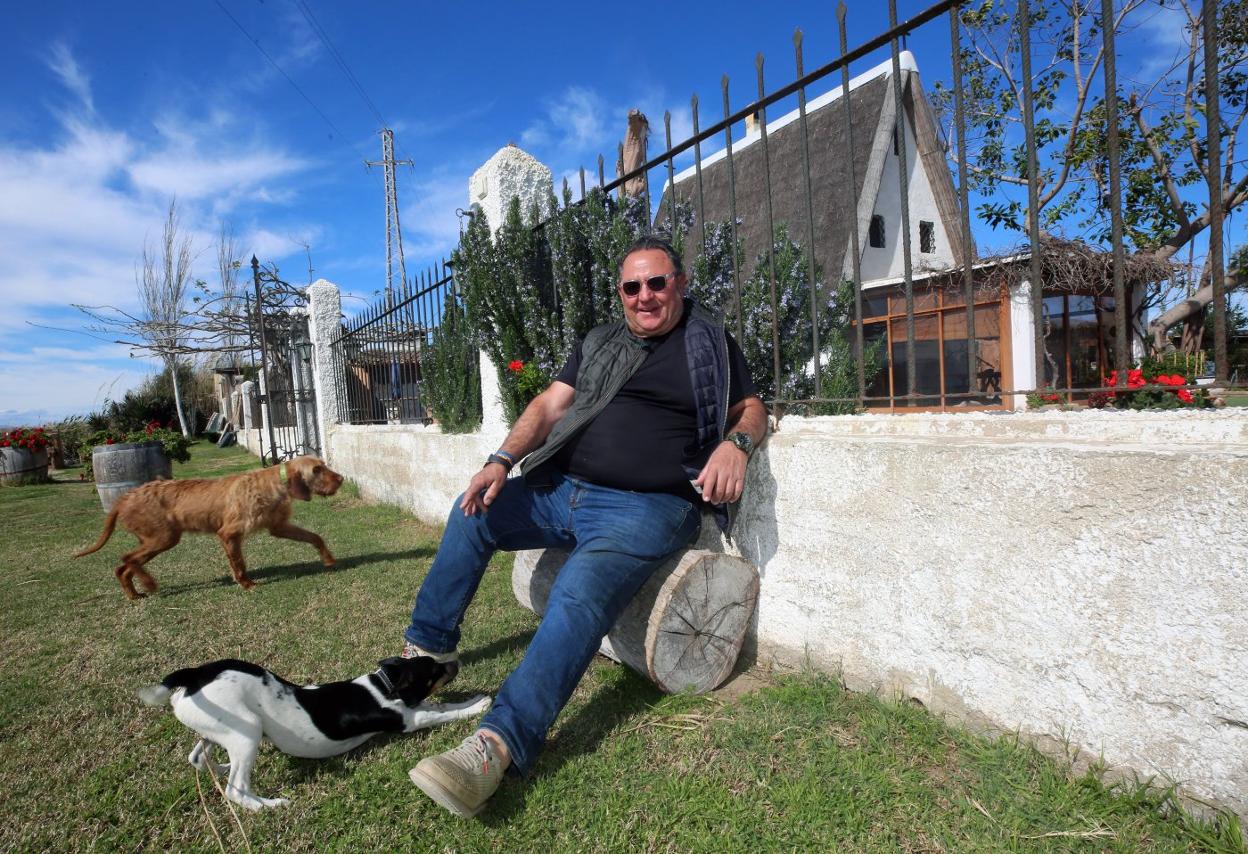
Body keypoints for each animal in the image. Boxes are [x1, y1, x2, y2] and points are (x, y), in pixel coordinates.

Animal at [75, 454, 344, 599]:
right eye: (317, 469)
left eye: (323, 464)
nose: (341, 479)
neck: (274, 483)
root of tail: (125, 497)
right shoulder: (228, 534)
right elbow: (239, 564)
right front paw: (247, 584)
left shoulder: (279, 527)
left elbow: (315, 537)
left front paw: (328, 559)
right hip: (163, 538)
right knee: (127, 557)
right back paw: (149, 584)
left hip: (155, 540)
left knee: (123, 568)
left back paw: (135, 594)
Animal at [137, 659, 486, 809]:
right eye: (436, 670)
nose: (455, 661)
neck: (383, 685)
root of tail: (194, 675)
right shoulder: (410, 719)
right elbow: (443, 712)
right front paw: (479, 706)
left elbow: (445, 705)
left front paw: (472, 699)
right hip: (248, 732)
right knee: (236, 789)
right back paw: (268, 805)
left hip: (218, 728)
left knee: (197, 756)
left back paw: (221, 767)